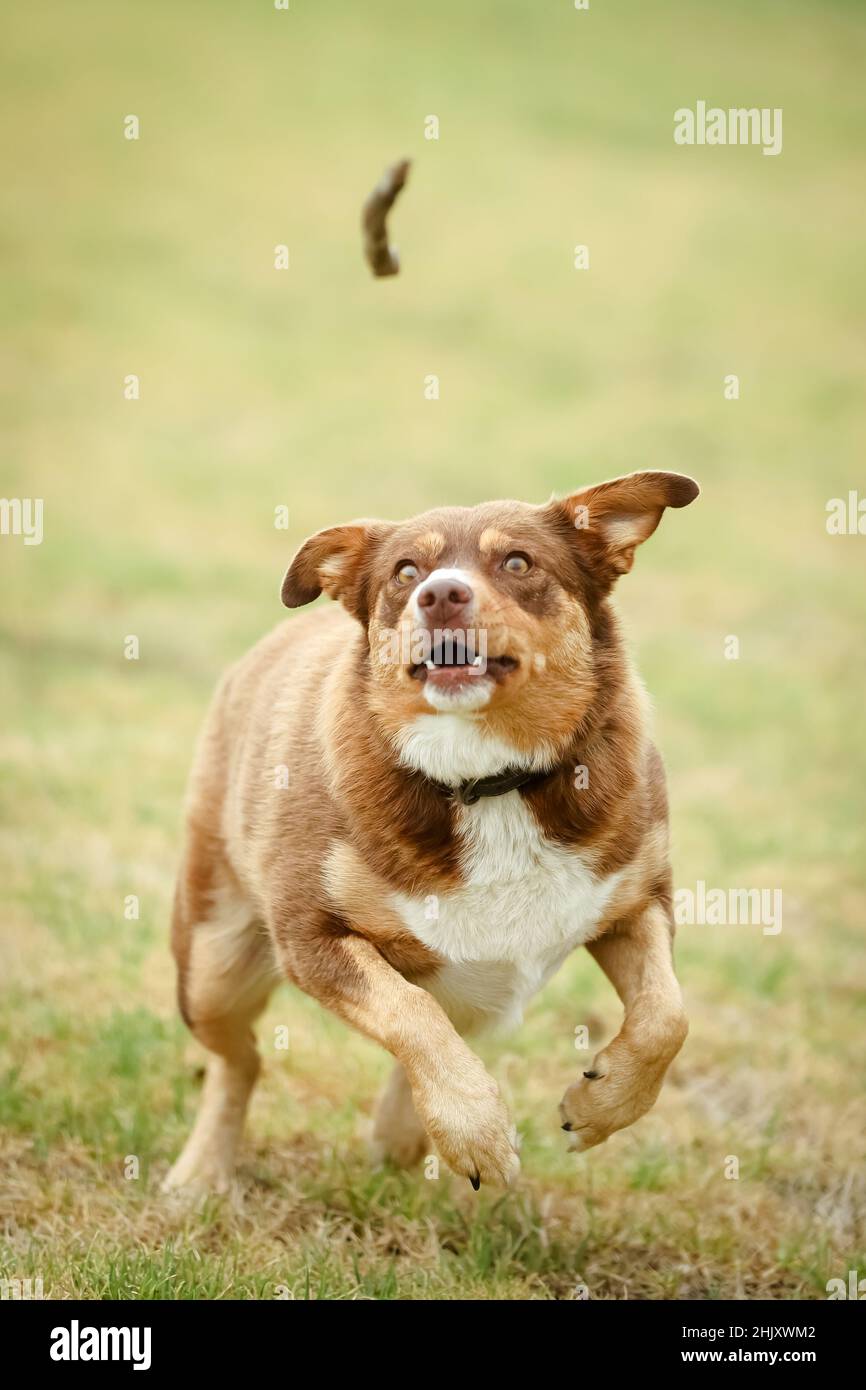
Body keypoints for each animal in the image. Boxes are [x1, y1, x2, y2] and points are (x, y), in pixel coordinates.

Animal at [164, 472, 697, 1189]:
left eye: (518, 563)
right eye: (406, 571)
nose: (440, 594)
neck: (490, 779)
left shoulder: (637, 902)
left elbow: (667, 1016)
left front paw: (602, 1106)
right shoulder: (310, 937)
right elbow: (410, 1013)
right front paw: (475, 1130)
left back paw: (400, 1133)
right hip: (211, 964)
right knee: (240, 1060)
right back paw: (201, 1174)